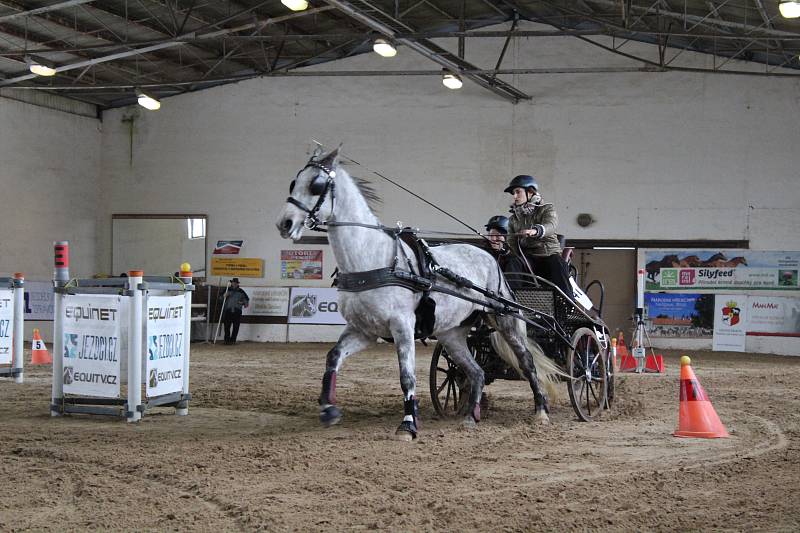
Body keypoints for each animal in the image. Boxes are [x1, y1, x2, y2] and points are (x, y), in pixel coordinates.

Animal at [276, 147, 556, 440]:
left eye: (317, 184)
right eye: (294, 182)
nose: (285, 223)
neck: (371, 259)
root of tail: (490, 256)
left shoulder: (402, 324)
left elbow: (407, 376)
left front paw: (408, 424)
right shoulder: (364, 329)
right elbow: (333, 357)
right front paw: (328, 409)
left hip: (506, 318)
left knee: (527, 362)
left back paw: (541, 411)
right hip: (451, 334)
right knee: (476, 372)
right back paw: (470, 416)